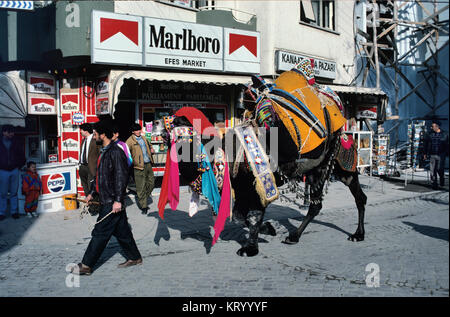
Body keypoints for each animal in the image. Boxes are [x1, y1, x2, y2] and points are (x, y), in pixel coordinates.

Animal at [153, 59, 368, 256]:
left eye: (177, 122)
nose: (156, 124)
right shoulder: (241, 186)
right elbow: (240, 216)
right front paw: (268, 229)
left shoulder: (257, 184)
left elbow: (253, 216)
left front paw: (250, 247)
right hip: (326, 167)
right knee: (344, 199)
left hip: (330, 164)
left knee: (340, 199)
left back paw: (347, 234)